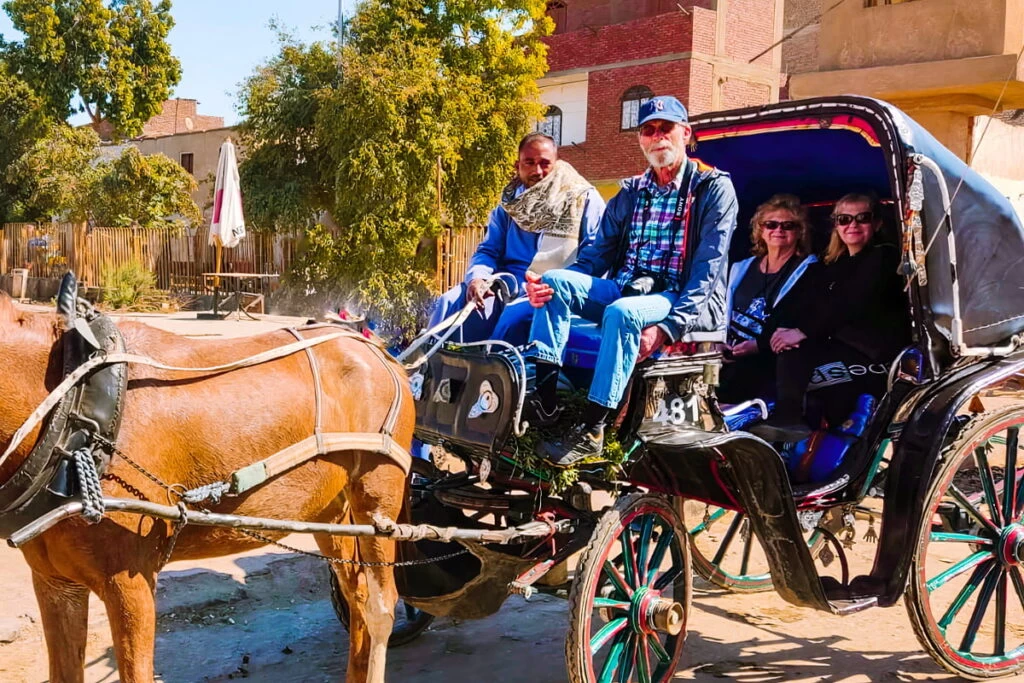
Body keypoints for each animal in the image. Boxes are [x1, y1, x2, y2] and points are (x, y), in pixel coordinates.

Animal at [0, 296, 411, 683]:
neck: (73, 409)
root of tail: (380, 352)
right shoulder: (55, 584)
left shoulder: (129, 582)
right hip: (333, 513)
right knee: (356, 594)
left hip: (377, 501)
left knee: (380, 606)